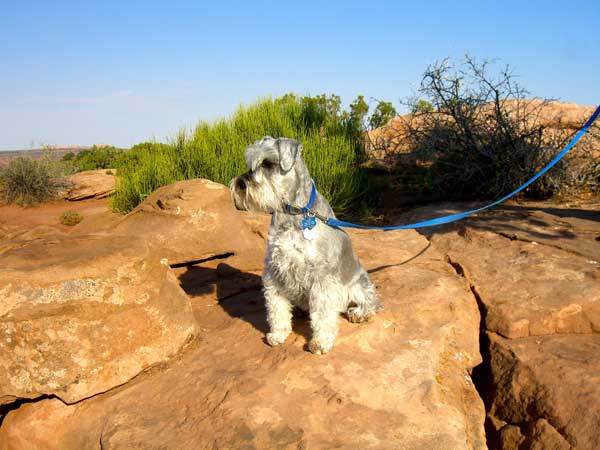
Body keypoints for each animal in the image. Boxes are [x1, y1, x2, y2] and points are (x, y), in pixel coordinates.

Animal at [230, 135, 380, 354]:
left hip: (358, 285)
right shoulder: (274, 270)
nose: (240, 184)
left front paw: (320, 342)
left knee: (371, 302)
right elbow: (276, 307)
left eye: (267, 163)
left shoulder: (322, 277)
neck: (294, 213)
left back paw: (359, 313)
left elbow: (323, 313)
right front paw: (278, 333)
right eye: (250, 163)